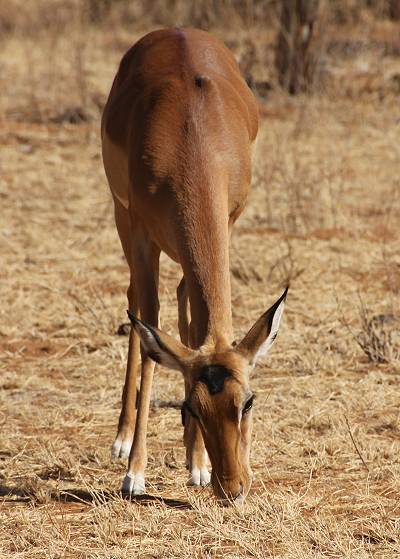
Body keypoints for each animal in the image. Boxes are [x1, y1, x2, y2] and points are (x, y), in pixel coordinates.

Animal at [101, 28, 288, 506]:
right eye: (191, 406)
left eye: (248, 401)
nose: (233, 489)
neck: (194, 137)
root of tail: (174, 30)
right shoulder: (142, 235)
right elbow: (150, 333)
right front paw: (135, 474)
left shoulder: (227, 221)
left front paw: (197, 463)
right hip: (122, 218)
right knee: (138, 304)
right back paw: (122, 440)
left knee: (185, 297)